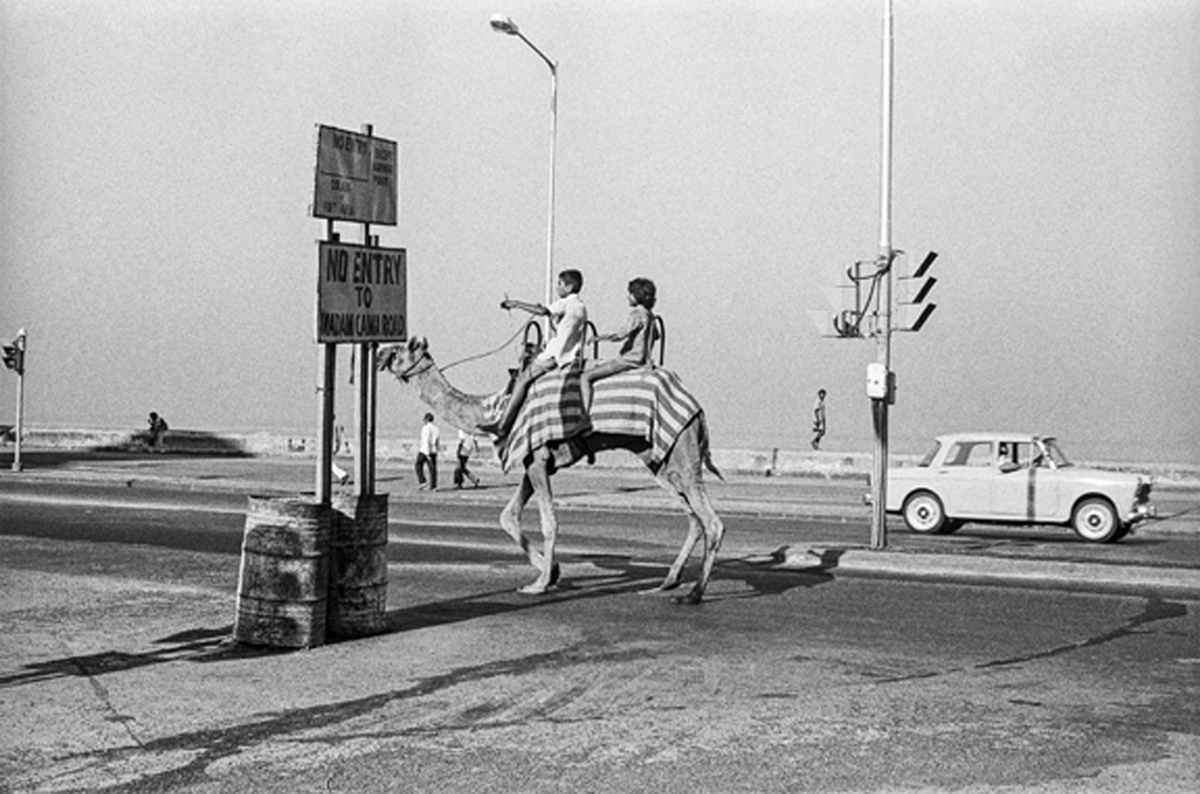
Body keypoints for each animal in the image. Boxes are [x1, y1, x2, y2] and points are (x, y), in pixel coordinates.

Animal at [379, 335, 724, 604]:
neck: (495, 408)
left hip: (681, 449)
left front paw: (541, 583)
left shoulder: (537, 459)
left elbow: (549, 522)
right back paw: (668, 582)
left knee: (711, 520)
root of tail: (696, 405)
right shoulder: (536, 461)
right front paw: (553, 571)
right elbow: (508, 515)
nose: (380, 354)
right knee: (693, 516)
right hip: (657, 457)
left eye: (399, 349)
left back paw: (694, 594)